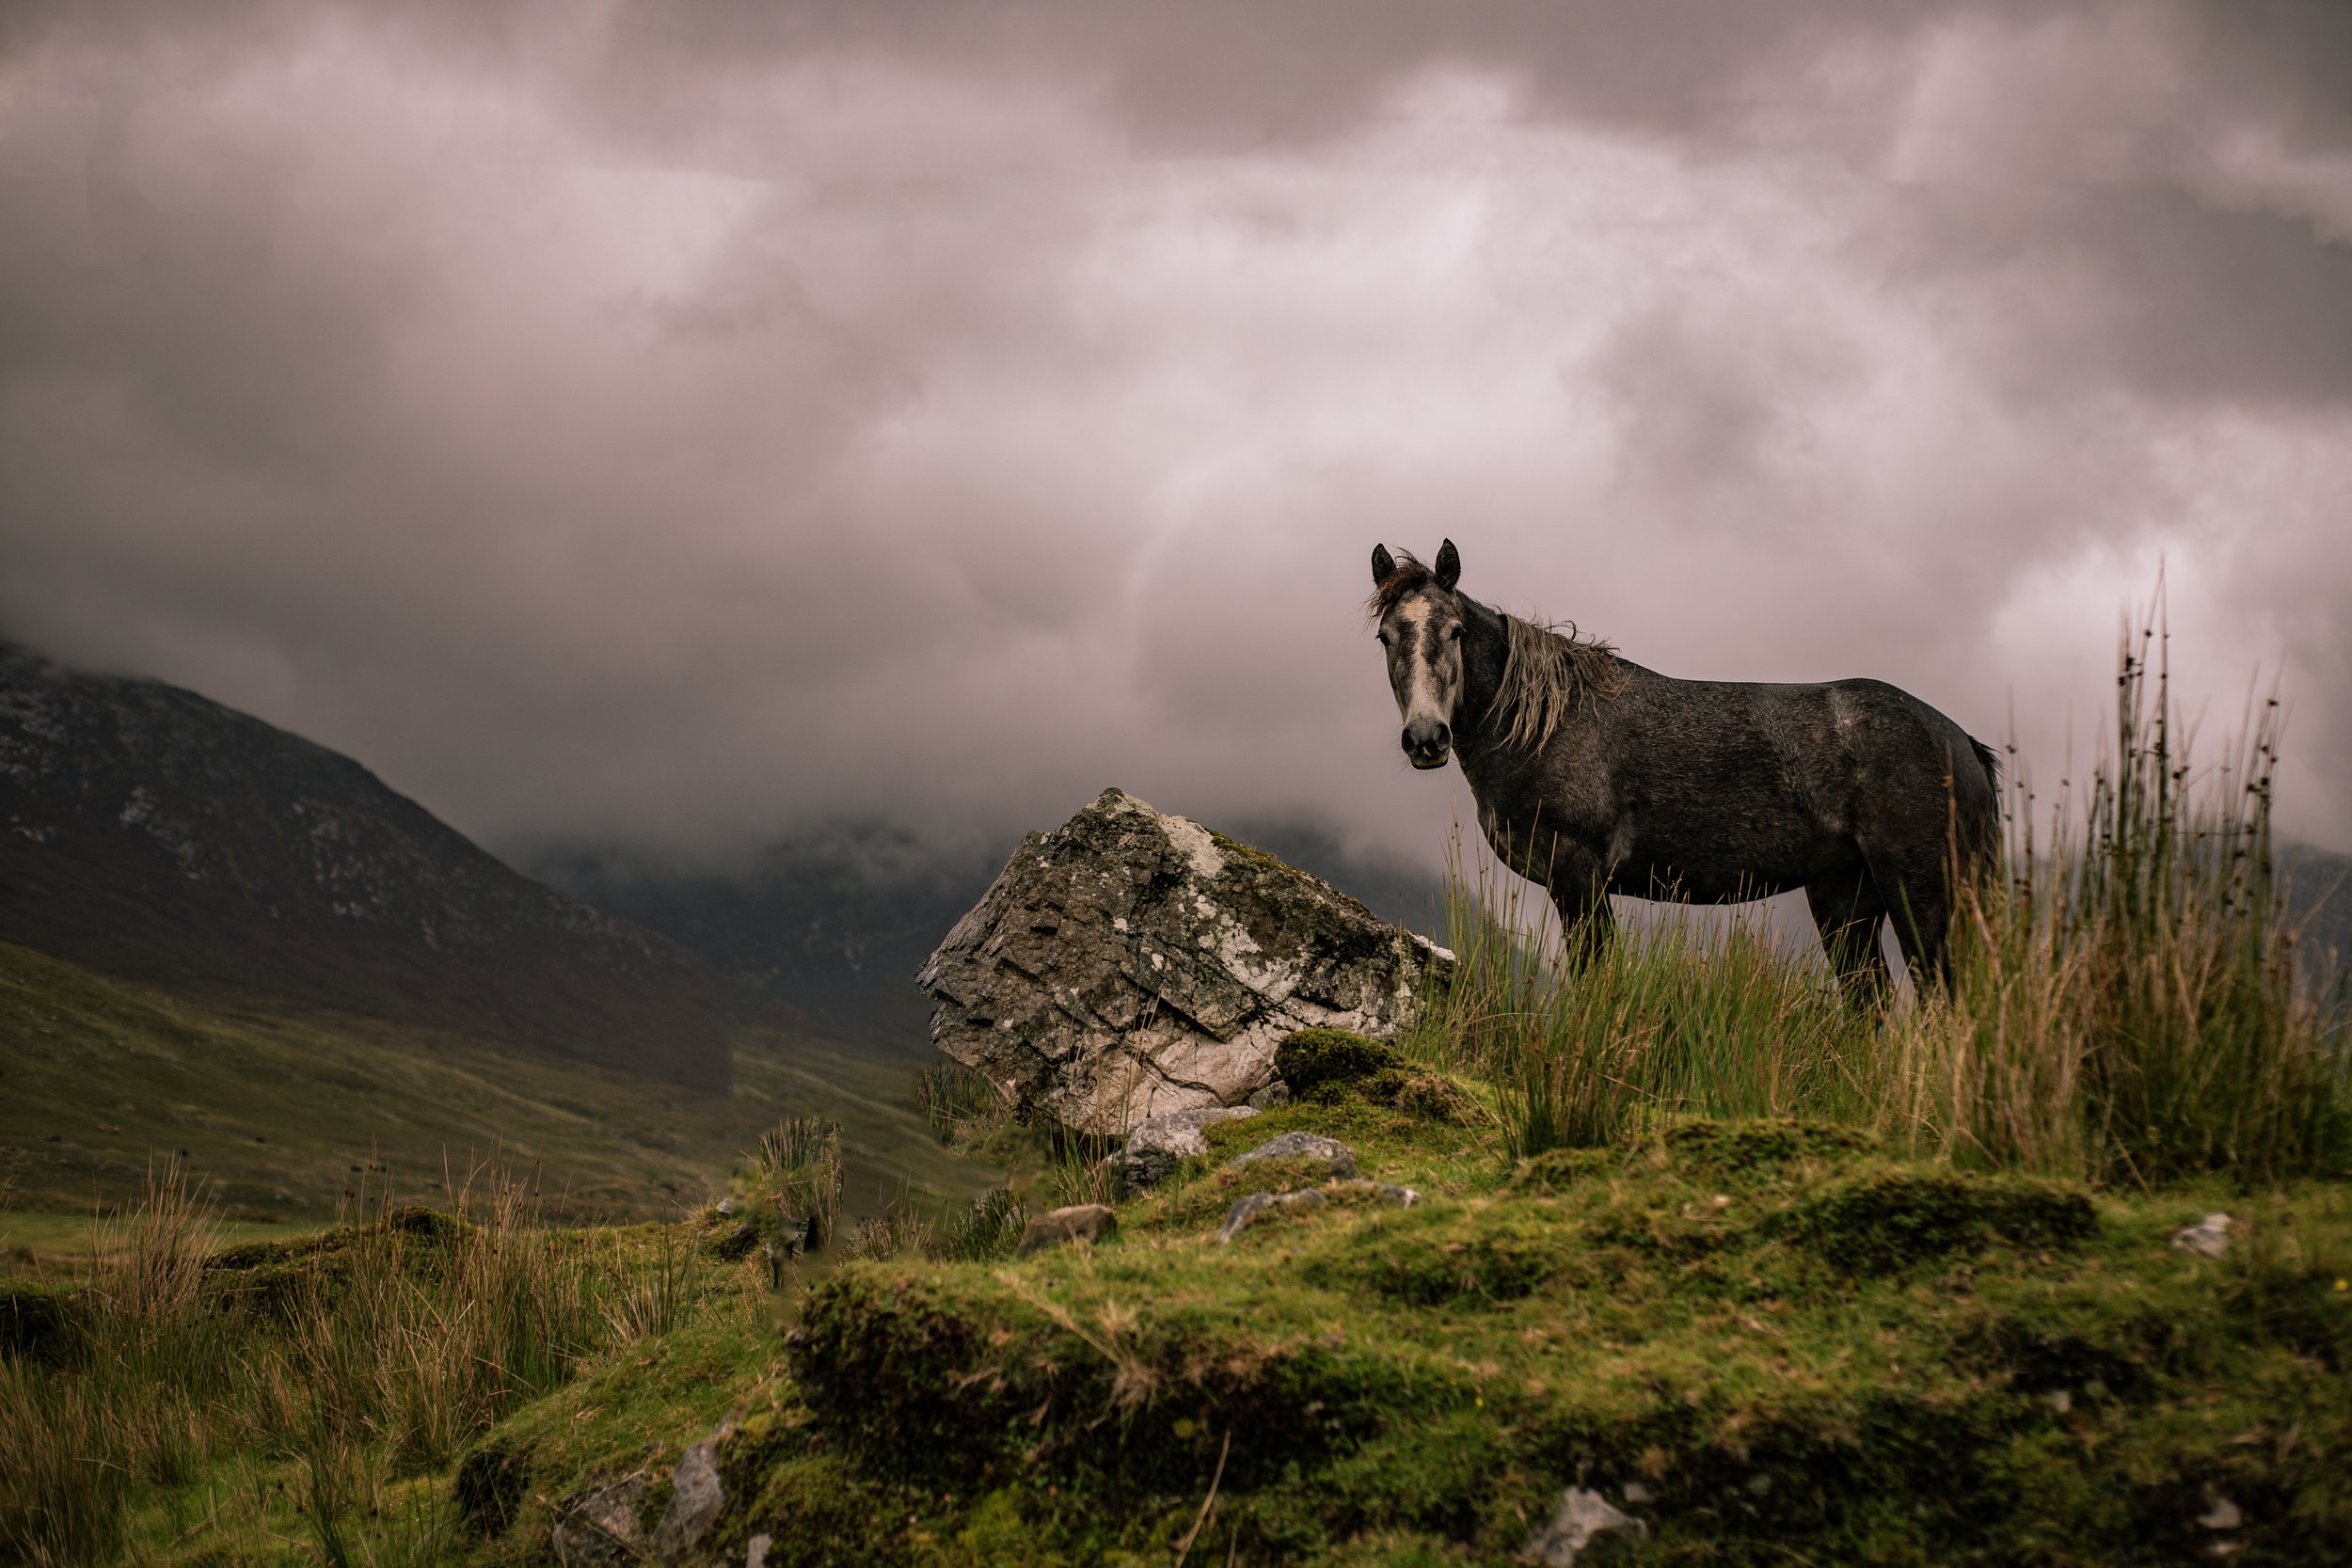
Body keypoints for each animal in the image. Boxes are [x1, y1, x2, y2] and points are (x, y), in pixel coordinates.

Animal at [1367, 539, 2001, 998]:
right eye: (1385, 637)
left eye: (1455, 631)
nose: (1426, 738)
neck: (1548, 721)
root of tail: (1959, 740)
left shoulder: (1579, 877)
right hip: (1845, 900)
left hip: (1921, 895)